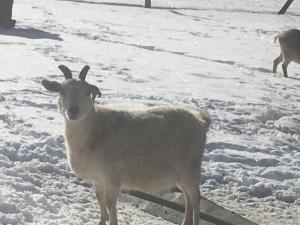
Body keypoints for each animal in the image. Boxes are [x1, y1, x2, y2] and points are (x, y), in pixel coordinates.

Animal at [41, 65, 211, 225]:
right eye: (61, 91)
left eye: (86, 92)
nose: (73, 111)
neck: (95, 130)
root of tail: (201, 122)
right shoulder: (98, 179)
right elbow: (99, 198)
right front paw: (101, 220)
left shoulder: (112, 177)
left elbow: (110, 203)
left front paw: (112, 222)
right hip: (180, 174)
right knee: (188, 198)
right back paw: (185, 222)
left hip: (190, 169)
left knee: (195, 199)